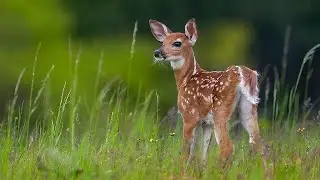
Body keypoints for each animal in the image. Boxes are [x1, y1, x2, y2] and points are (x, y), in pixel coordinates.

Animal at [149, 18, 264, 170]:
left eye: (177, 43)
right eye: (162, 42)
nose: (157, 52)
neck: (185, 80)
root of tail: (242, 73)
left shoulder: (189, 115)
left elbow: (186, 150)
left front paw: (181, 171)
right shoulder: (205, 123)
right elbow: (203, 152)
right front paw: (201, 171)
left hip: (220, 110)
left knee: (227, 147)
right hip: (248, 108)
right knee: (258, 144)